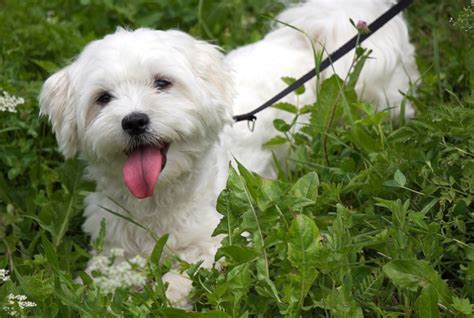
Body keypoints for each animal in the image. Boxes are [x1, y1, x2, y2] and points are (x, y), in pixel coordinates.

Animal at [39, 0, 418, 308]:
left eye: (162, 83)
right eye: (103, 98)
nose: (134, 120)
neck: (157, 203)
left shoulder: (225, 240)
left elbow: (188, 272)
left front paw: (168, 294)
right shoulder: (113, 245)